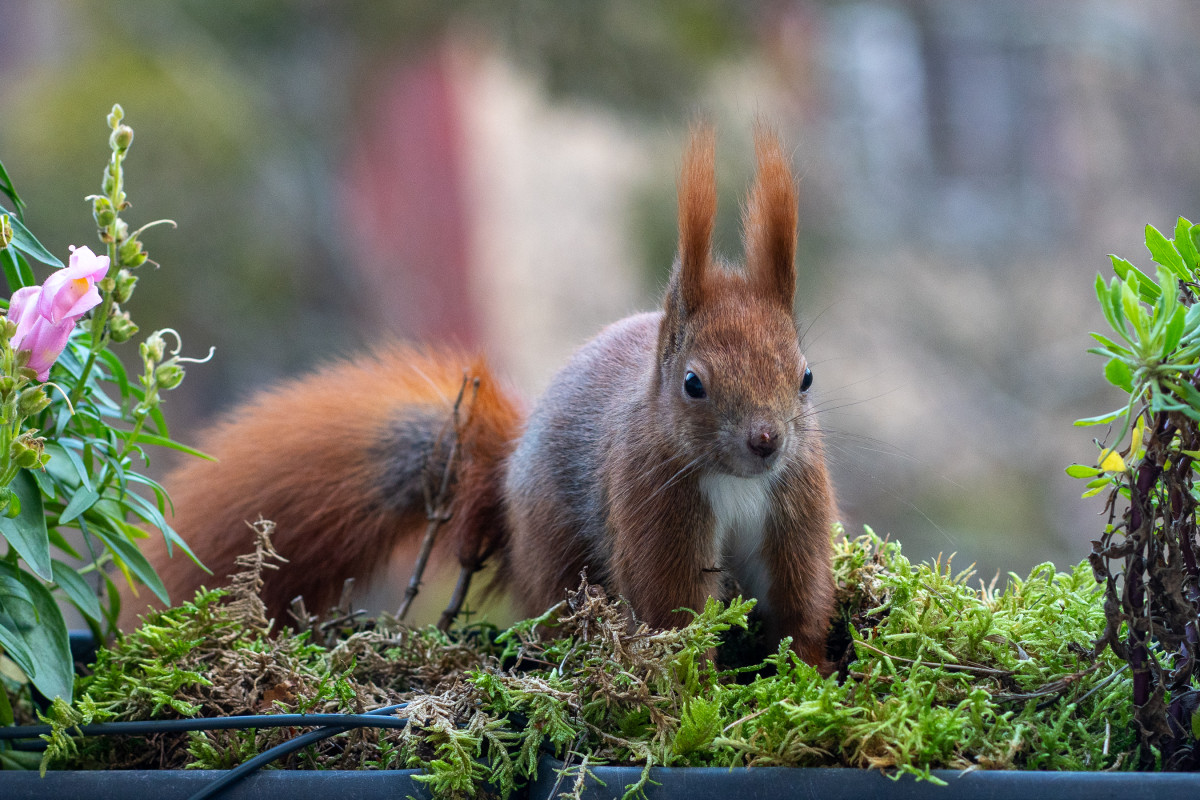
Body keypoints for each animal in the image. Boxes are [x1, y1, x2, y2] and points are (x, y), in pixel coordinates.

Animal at [133, 123, 835, 662]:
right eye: (693, 384)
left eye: (805, 376)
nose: (766, 442)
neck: (736, 481)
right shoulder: (653, 507)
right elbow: (674, 618)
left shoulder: (795, 509)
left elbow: (798, 605)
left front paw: (814, 673)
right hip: (555, 552)